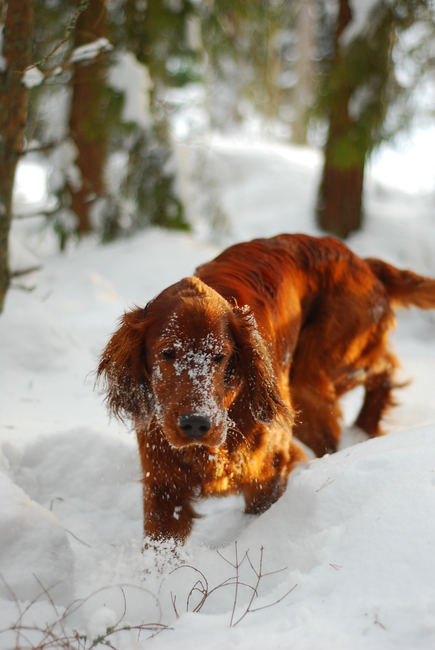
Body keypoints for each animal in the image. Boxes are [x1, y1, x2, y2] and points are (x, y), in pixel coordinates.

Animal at [97, 234, 435, 540]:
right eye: (167, 353)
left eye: (220, 356)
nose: (196, 424)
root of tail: (364, 263)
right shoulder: (163, 486)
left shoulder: (268, 473)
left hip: (314, 378)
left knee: (381, 370)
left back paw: (364, 429)